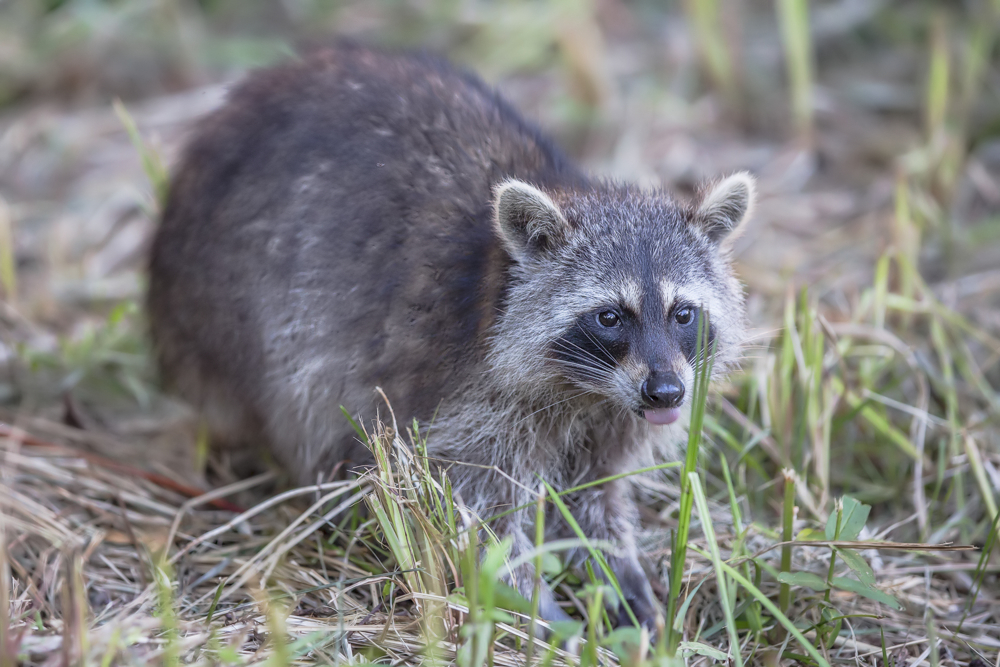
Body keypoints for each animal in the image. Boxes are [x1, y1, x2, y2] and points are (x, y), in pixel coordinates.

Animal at [148, 44, 752, 628]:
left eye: (683, 314)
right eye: (609, 317)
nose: (667, 393)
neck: (589, 391)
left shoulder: (611, 417)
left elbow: (593, 496)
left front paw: (614, 567)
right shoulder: (474, 399)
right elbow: (474, 504)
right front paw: (531, 603)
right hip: (231, 310)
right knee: (306, 400)